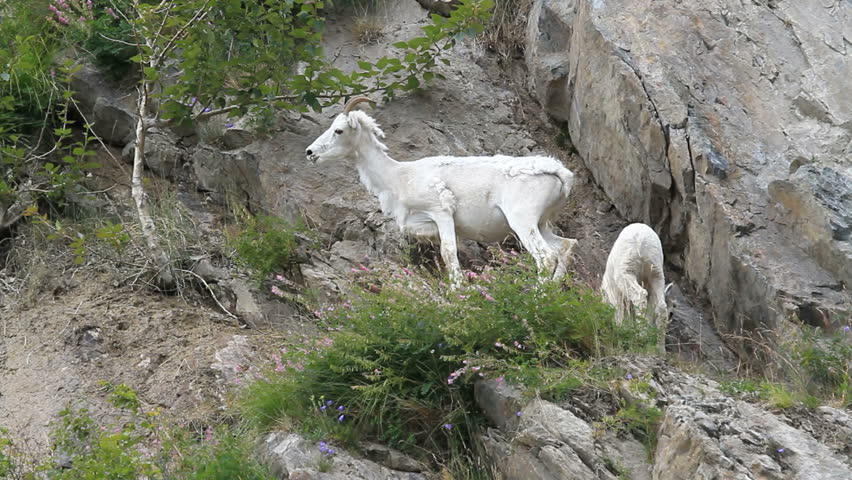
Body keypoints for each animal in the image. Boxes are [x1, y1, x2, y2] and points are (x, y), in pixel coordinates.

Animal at [305, 96, 578, 285]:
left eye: (339, 130)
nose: (310, 153)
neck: (398, 177)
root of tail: (559, 173)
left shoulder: (442, 212)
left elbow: (449, 255)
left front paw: (458, 293)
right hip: (541, 224)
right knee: (564, 247)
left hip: (523, 221)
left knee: (545, 257)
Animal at [600, 223, 673, 352]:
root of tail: (642, 239)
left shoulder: (616, 297)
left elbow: (619, 316)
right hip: (656, 273)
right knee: (661, 306)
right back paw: (660, 349)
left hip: (626, 272)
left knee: (640, 296)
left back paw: (641, 335)